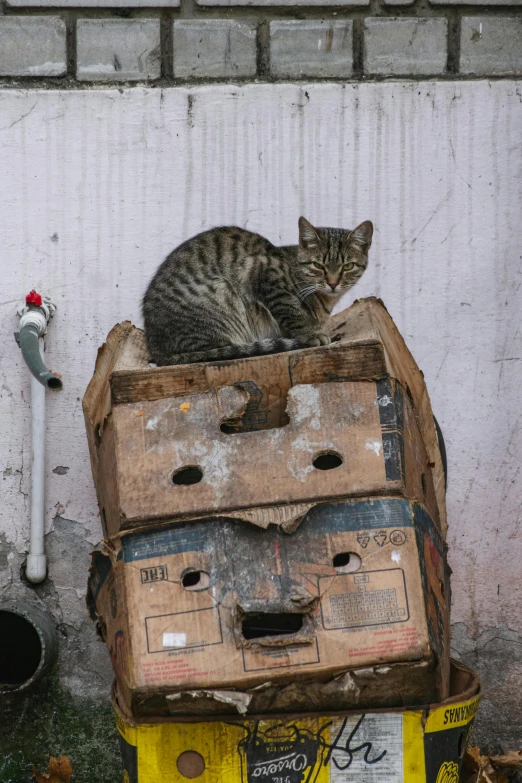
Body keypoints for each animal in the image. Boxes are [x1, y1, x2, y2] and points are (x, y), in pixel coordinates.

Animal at [141, 217, 370, 368]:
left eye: (348, 266)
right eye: (318, 265)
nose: (332, 283)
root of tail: (157, 350)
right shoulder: (263, 271)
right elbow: (293, 312)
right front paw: (311, 333)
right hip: (221, 295)